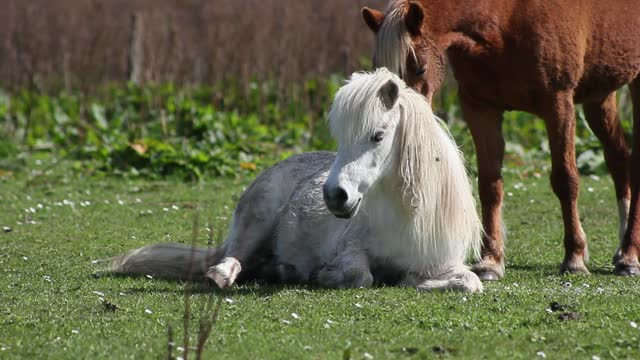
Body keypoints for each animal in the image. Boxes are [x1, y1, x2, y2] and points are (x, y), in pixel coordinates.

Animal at [107, 68, 482, 292]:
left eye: (377, 136)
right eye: (340, 138)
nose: (335, 196)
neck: (406, 220)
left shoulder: (445, 263)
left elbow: (470, 282)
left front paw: (414, 280)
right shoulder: (350, 250)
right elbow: (361, 276)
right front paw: (325, 275)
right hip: (255, 221)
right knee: (231, 259)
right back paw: (227, 275)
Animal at [360, 0, 640, 278]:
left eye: (420, 68)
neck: (508, 17)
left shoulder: (558, 103)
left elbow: (565, 180)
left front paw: (574, 257)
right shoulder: (480, 108)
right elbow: (489, 185)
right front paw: (490, 261)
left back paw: (629, 255)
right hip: (600, 95)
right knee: (618, 159)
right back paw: (622, 249)